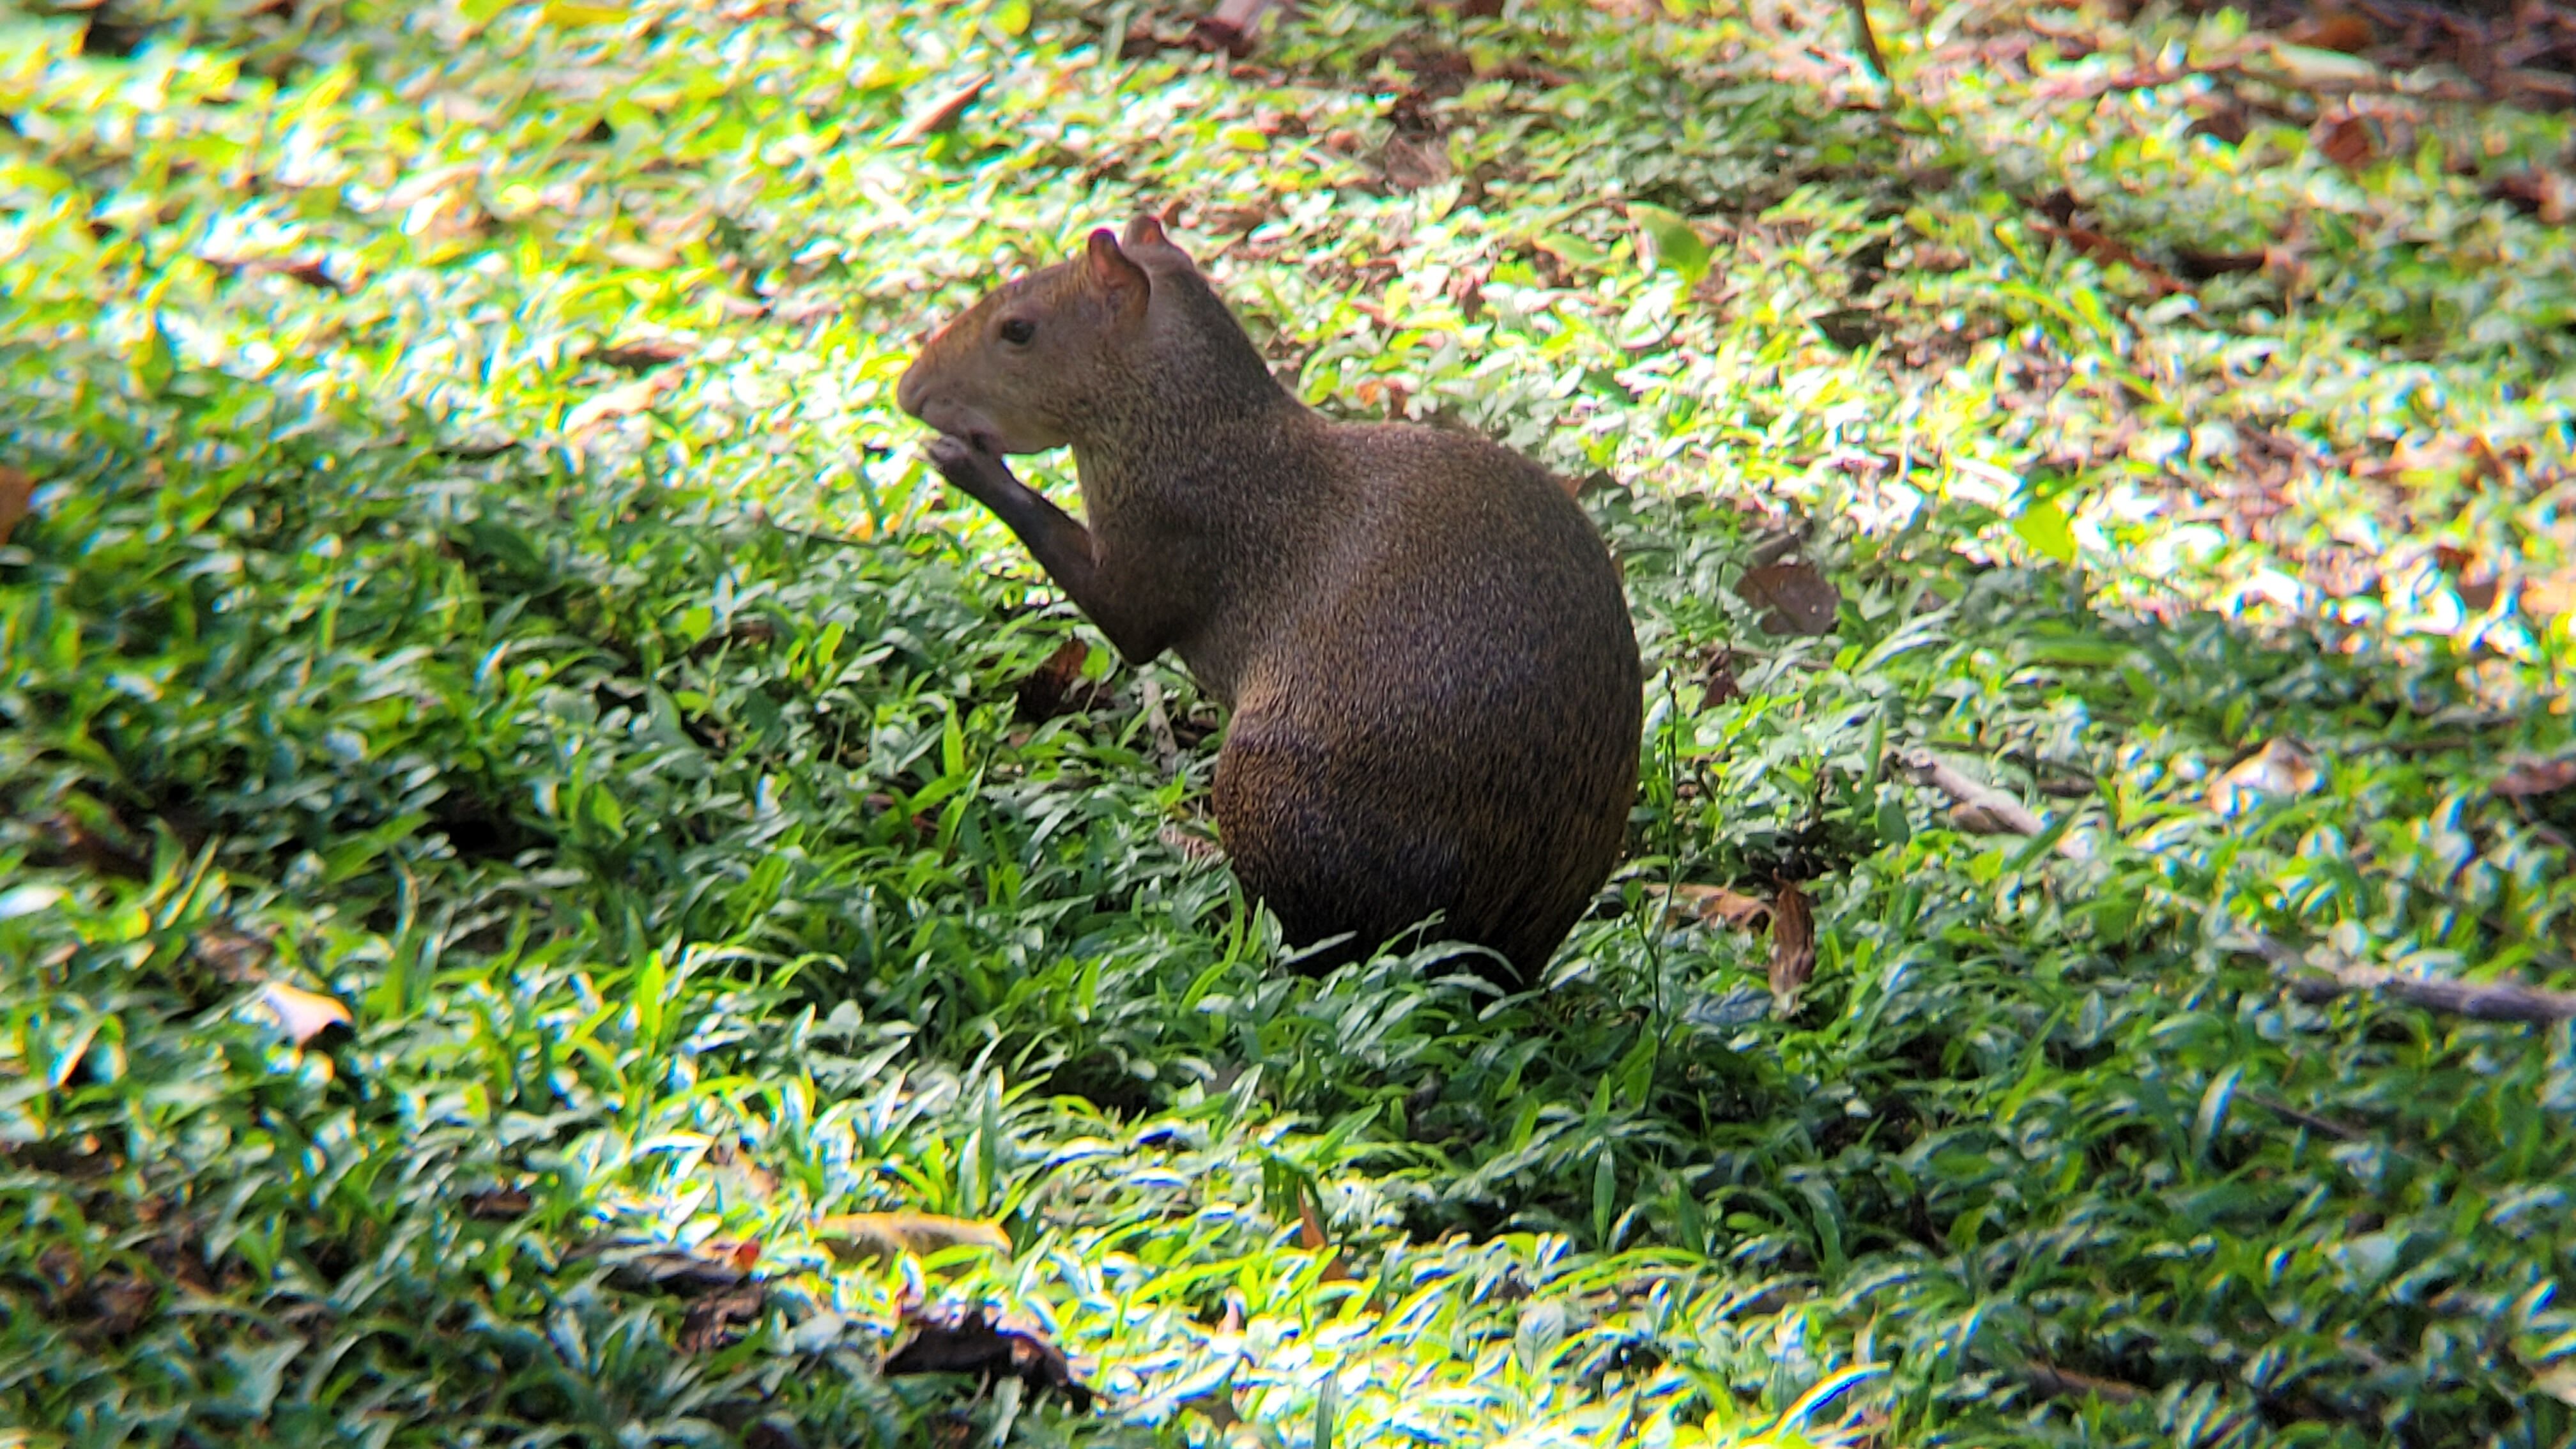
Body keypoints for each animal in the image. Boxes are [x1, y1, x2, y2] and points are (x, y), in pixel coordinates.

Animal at [895, 214, 1641, 984]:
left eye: (1017, 331)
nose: (907, 390)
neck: (1186, 427)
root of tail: (1497, 958)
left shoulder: (1153, 559)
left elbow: (1095, 581)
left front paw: (965, 463)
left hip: (1260, 780)